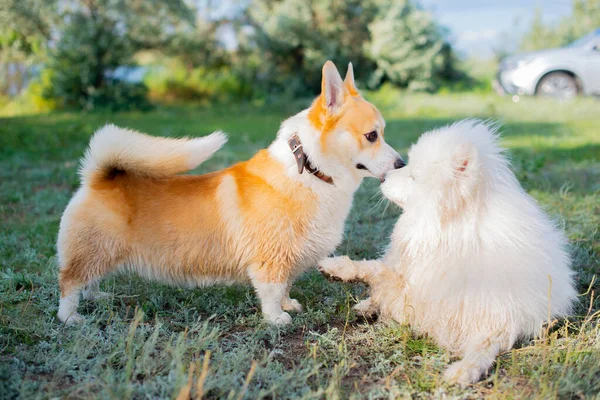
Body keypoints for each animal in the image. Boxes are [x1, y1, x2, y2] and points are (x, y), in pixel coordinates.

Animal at [57, 61, 404, 324]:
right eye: (371, 135)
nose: (401, 163)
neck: (311, 170)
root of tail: (98, 176)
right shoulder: (269, 260)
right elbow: (271, 290)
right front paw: (277, 318)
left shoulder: (287, 259)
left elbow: (286, 285)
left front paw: (289, 304)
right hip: (94, 251)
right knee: (70, 283)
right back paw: (71, 317)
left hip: (102, 253)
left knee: (89, 281)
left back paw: (98, 296)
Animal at [318, 121, 576, 384]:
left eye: (413, 176)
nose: (384, 176)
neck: (449, 223)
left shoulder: (416, 291)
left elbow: (376, 269)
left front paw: (338, 267)